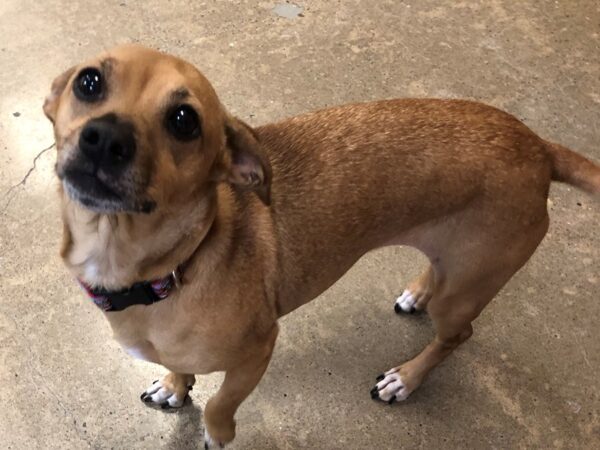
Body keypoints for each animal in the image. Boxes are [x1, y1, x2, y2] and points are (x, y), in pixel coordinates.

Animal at [43, 45, 600, 446]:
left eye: (185, 120)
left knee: (455, 336)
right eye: (89, 81)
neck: (172, 269)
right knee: (435, 277)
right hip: (451, 264)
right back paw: (417, 293)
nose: (104, 138)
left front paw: (215, 434)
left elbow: (221, 405)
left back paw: (406, 378)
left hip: (466, 290)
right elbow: (179, 365)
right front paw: (176, 387)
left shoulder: (257, 352)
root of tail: (538, 146)